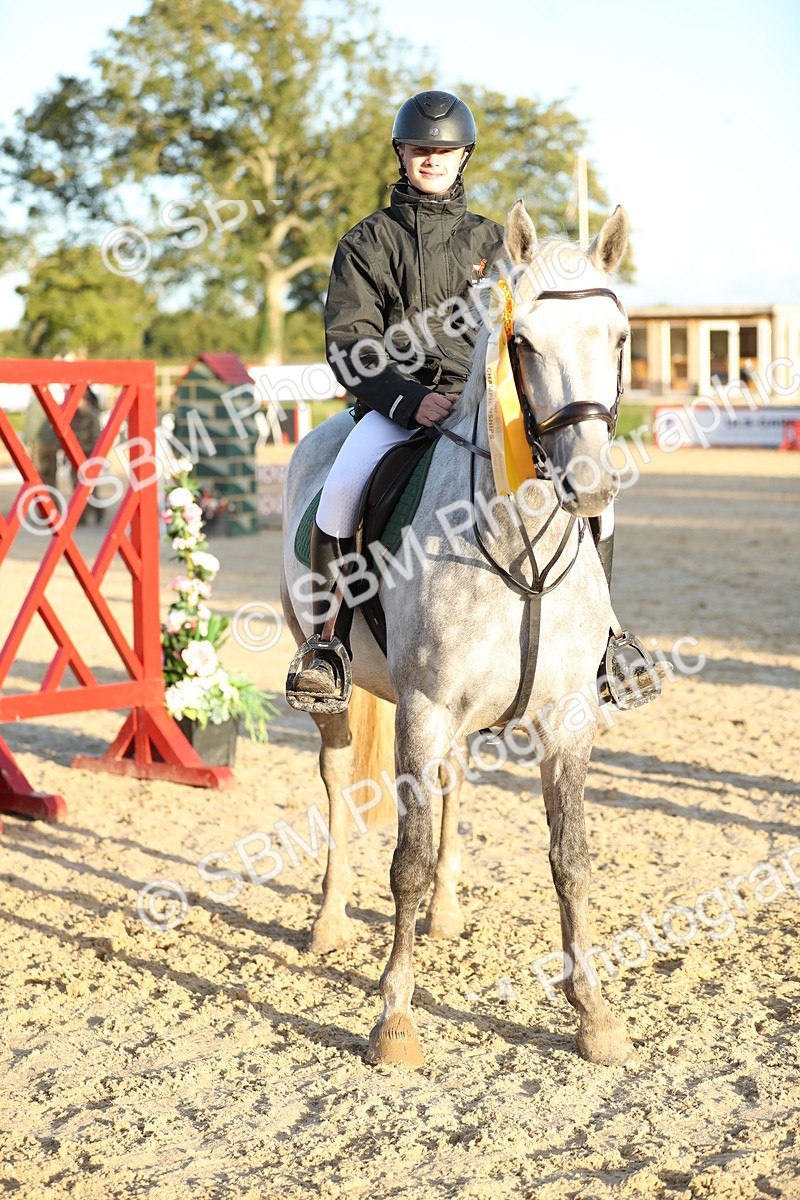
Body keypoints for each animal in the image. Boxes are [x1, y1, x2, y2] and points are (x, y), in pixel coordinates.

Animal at [281, 200, 639, 1068]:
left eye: (617, 337)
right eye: (523, 342)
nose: (589, 485)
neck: (521, 547)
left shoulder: (565, 719)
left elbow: (571, 858)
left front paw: (594, 1015)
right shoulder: (424, 708)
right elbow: (403, 863)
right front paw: (395, 1017)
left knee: (453, 784)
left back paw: (445, 914)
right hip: (343, 696)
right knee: (337, 784)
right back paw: (330, 921)